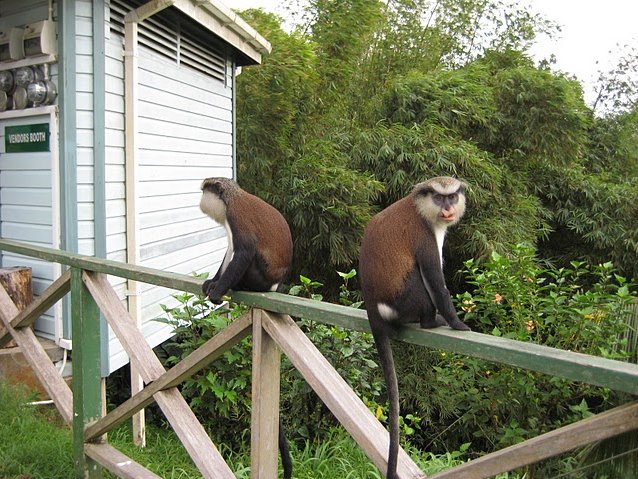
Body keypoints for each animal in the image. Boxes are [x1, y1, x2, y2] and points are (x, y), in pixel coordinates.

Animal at [362, 176, 472, 479]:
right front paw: (457, 323)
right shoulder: (424, 235)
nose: (447, 208)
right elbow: (434, 278)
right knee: (419, 281)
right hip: (403, 301)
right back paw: (430, 321)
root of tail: (372, 307)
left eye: (451, 196)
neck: (421, 209)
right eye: (438, 197)